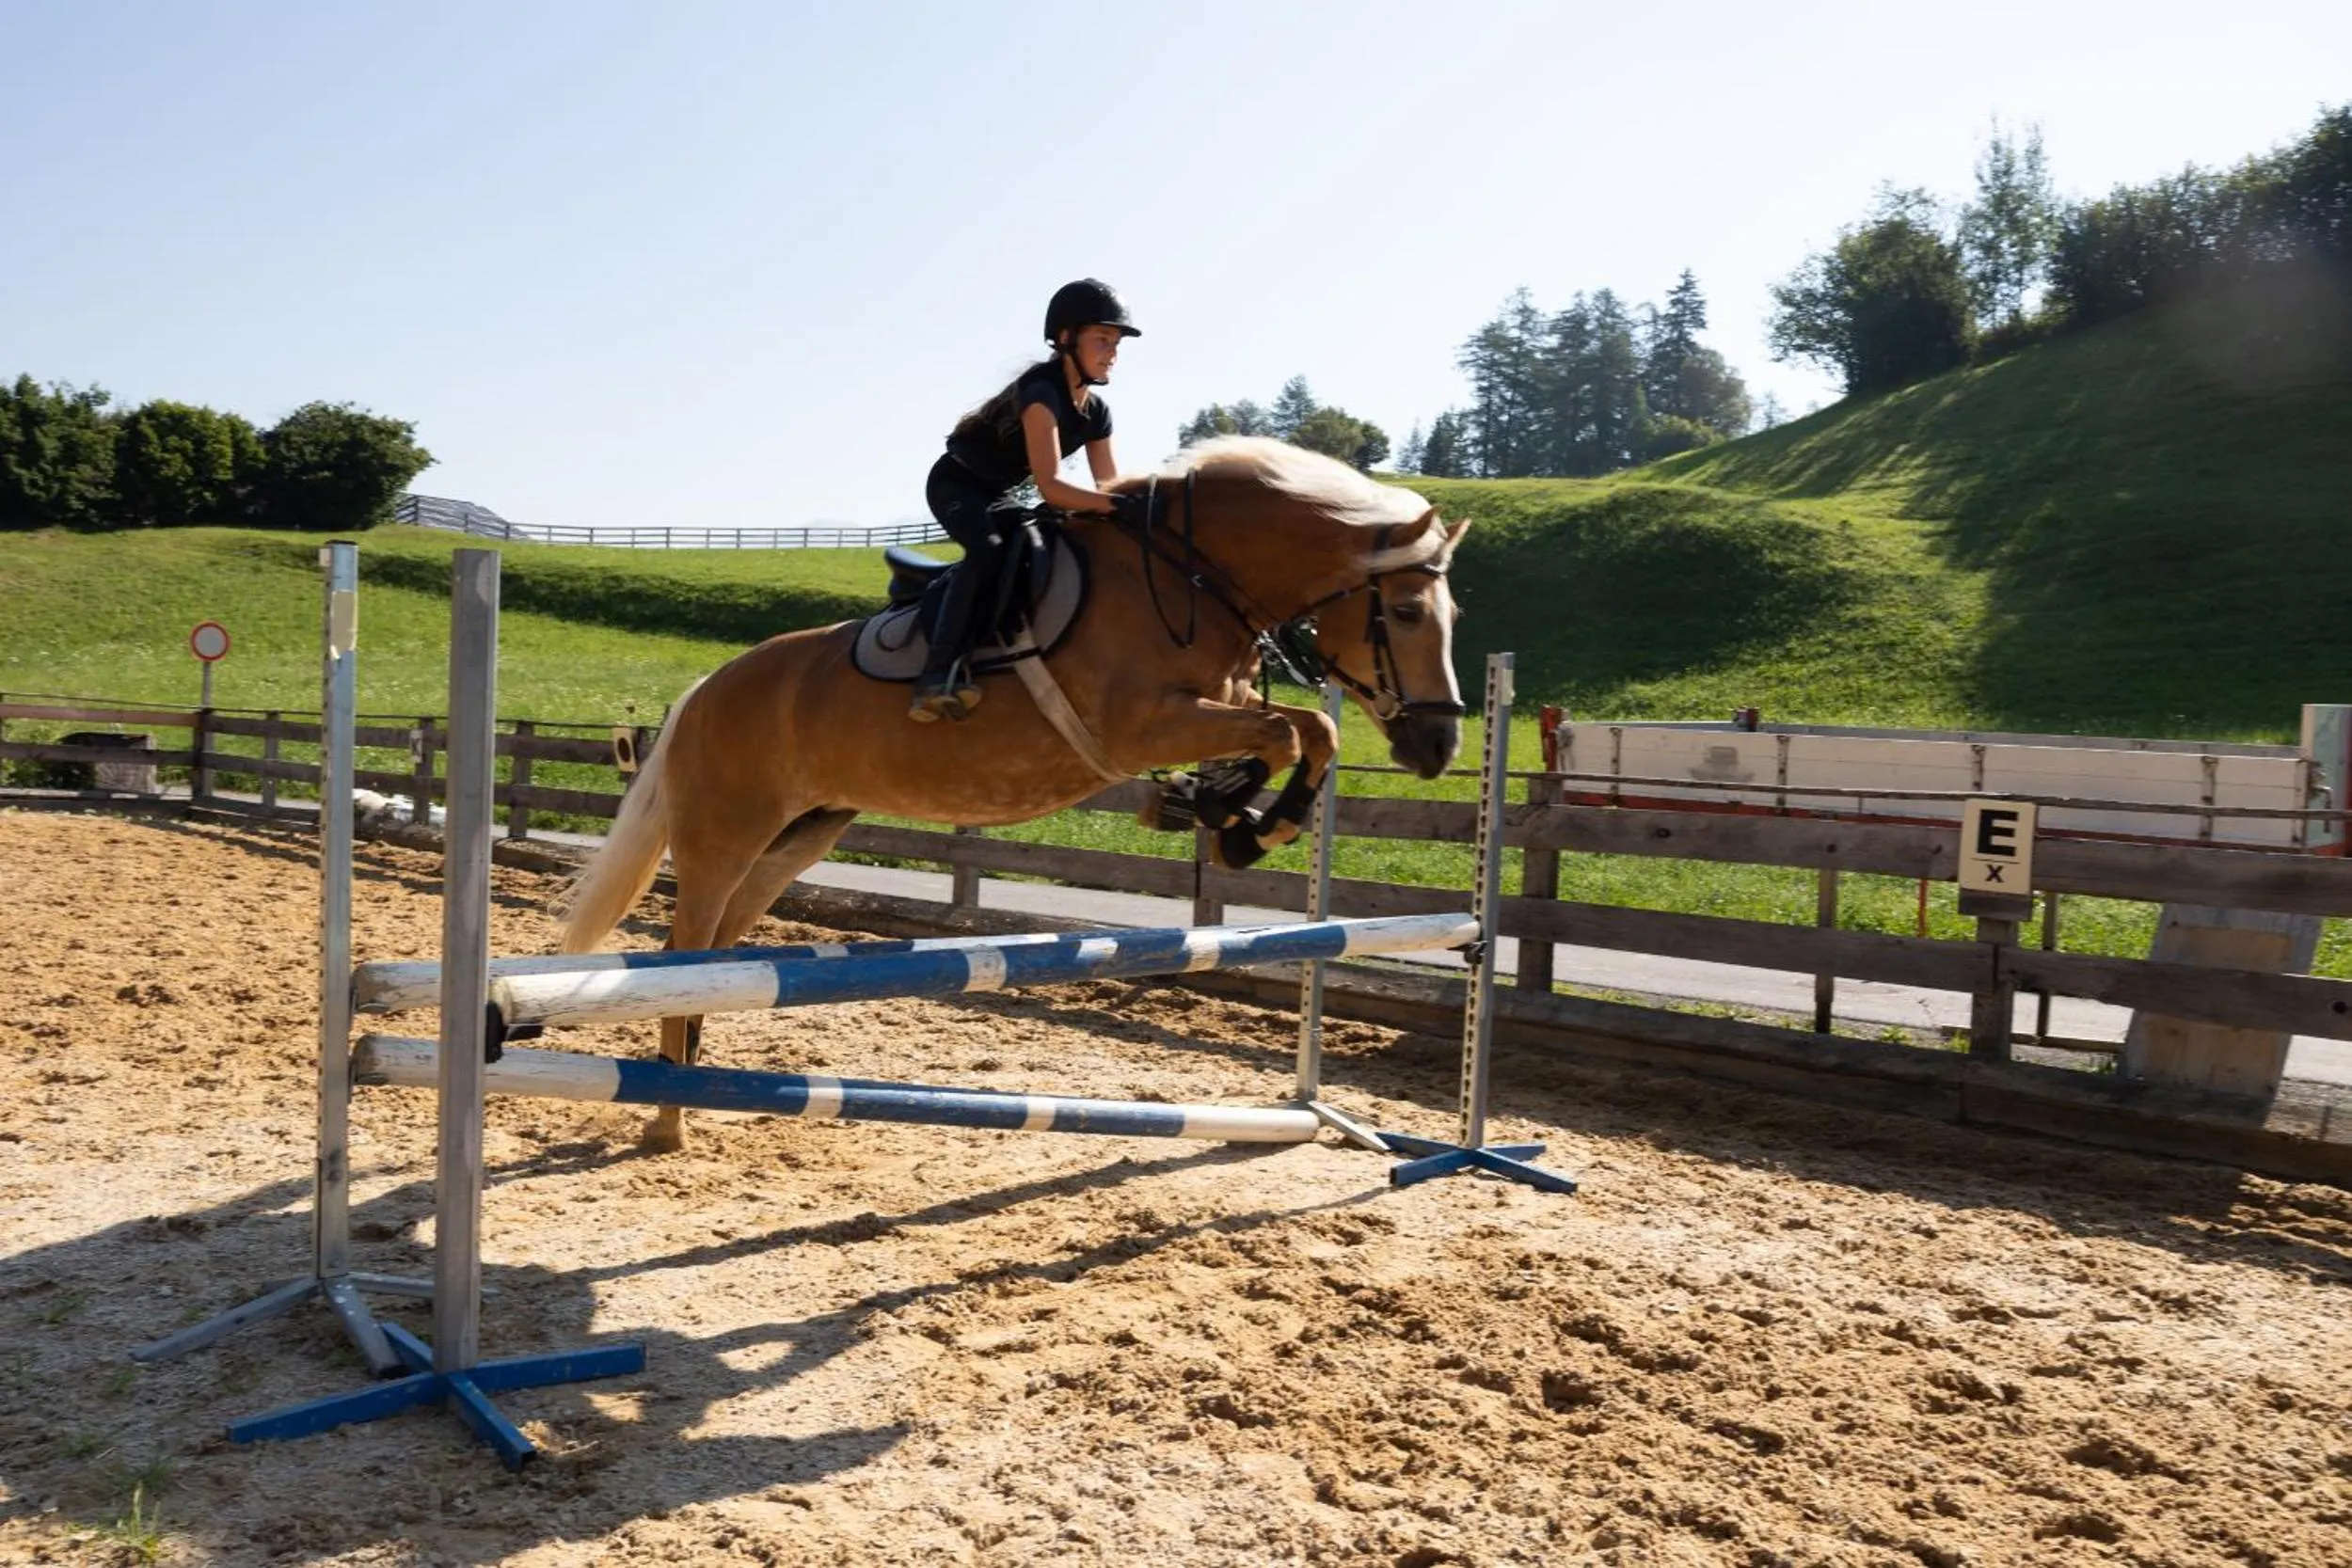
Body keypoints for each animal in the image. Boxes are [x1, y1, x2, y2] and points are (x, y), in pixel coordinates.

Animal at [558, 436, 1472, 1149]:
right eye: (1405, 611)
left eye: (1452, 613)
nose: (1439, 745)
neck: (1192, 579)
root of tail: (706, 688)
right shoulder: (1140, 726)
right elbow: (1289, 732)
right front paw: (1244, 823)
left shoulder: (1216, 707)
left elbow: (1303, 731)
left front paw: (1222, 813)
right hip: (725, 836)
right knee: (682, 948)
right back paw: (669, 1121)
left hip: (798, 837)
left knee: (718, 954)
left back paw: (689, 1086)